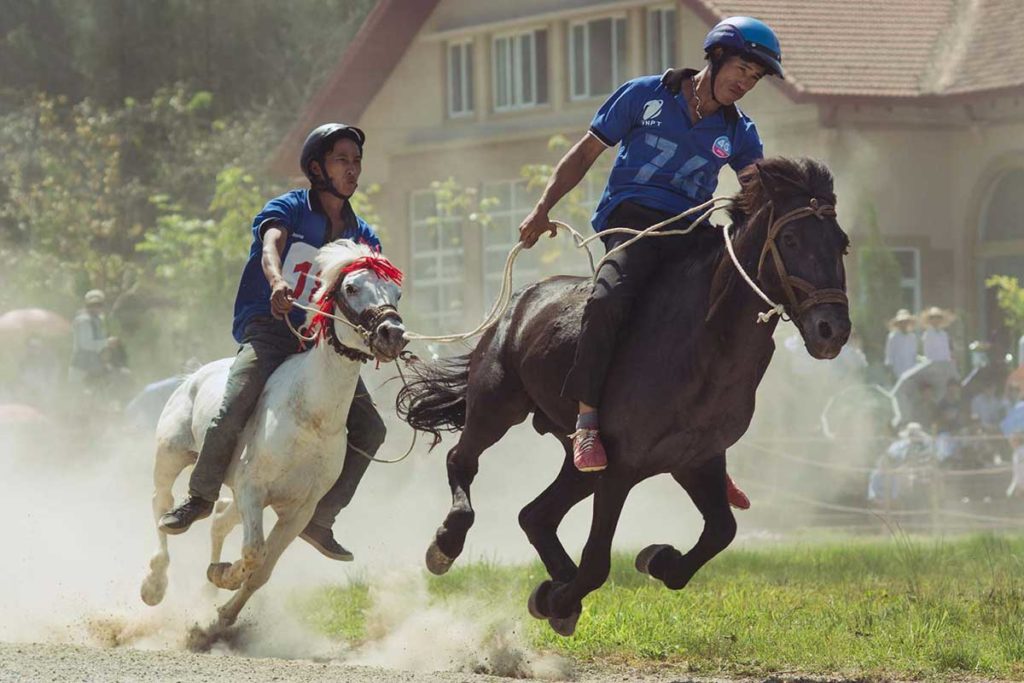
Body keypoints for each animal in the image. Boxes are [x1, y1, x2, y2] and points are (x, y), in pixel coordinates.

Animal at [139, 240, 407, 630]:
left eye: (396, 293)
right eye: (352, 287)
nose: (393, 333)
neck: (310, 417)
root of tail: (193, 376)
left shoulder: (298, 511)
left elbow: (263, 569)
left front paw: (222, 613)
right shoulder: (253, 490)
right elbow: (254, 552)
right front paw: (225, 575)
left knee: (219, 518)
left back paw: (206, 590)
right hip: (171, 455)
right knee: (162, 504)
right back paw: (155, 581)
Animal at [395, 156, 851, 634]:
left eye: (842, 244)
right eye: (791, 238)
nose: (832, 330)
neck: (704, 340)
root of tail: (519, 303)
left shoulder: (697, 459)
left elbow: (721, 531)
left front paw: (656, 560)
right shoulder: (622, 468)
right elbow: (597, 562)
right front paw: (564, 598)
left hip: (578, 462)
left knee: (535, 514)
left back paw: (555, 583)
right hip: (496, 405)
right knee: (462, 461)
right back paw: (448, 544)